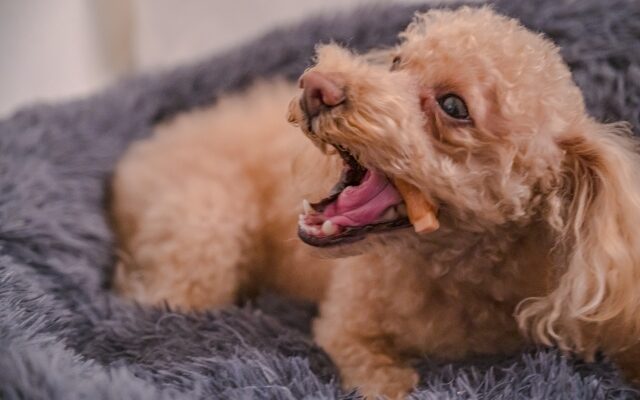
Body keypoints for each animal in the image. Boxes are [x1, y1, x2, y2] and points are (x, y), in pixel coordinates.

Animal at [112, 7, 640, 400]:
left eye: (453, 107)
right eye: (397, 62)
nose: (316, 86)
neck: (448, 274)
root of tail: (137, 157)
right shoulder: (345, 324)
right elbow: (378, 375)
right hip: (204, 234)